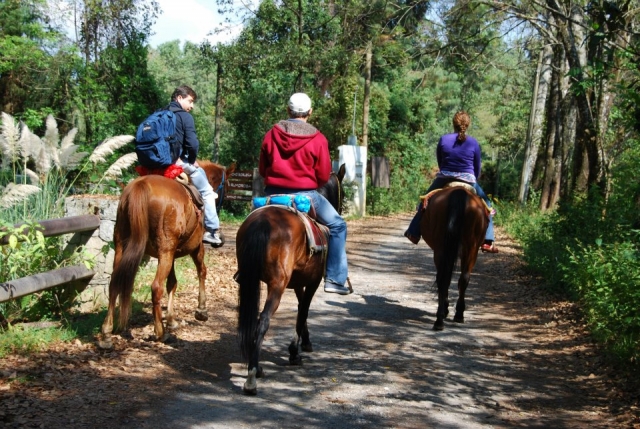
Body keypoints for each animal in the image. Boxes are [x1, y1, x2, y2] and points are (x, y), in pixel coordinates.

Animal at [98, 161, 236, 349]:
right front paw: (201, 310)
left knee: (114, 284)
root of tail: (140, 186)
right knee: (156, 287)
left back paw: (106, 333)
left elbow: (172, 283)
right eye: (227, 187)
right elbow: (201, 271)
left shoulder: (171, 253)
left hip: (122, 246)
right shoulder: (196, 247)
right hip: (165, 251)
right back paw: (160, 333)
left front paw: (171, 320)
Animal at [235, 164, 346, 395]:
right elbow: (302, 312)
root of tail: (263, 222)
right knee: (263, 321)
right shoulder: (312, 282)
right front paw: (295, 352)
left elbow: (301, 308)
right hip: (277, 286)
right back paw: (252, 376)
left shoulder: (298, 283)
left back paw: (255, 365)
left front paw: (305, 342)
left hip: (252, 280)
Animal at [420, 184, 489, 331]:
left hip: (443, 248)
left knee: (447, 278)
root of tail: (459, 192)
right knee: (458, 278)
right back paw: (455, 314)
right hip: (469, 248)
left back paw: (441, 319)